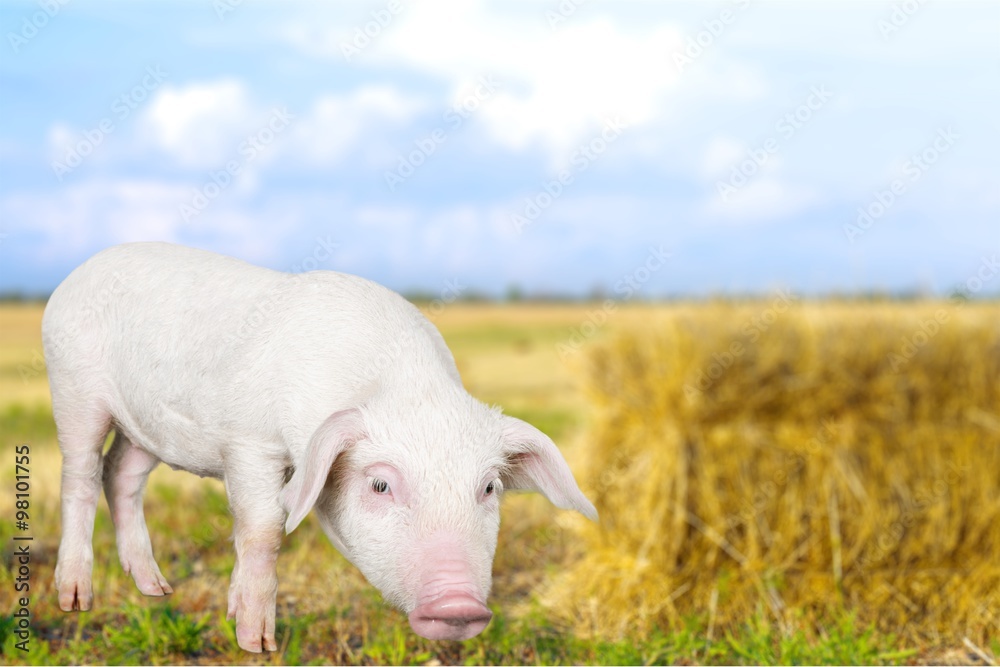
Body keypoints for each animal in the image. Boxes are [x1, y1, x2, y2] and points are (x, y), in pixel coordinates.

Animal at [43, 242, 597, 652]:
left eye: (488, 488)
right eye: (380, 484)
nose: (458, 604)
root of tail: (75, 274)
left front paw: (232, 613)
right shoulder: (251, 442)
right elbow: (263, 529)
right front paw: (257, 644)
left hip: (147, 427)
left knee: (121, 473)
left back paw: (157, 591)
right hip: (74, 388)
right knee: (81, 475)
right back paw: (75, 600)